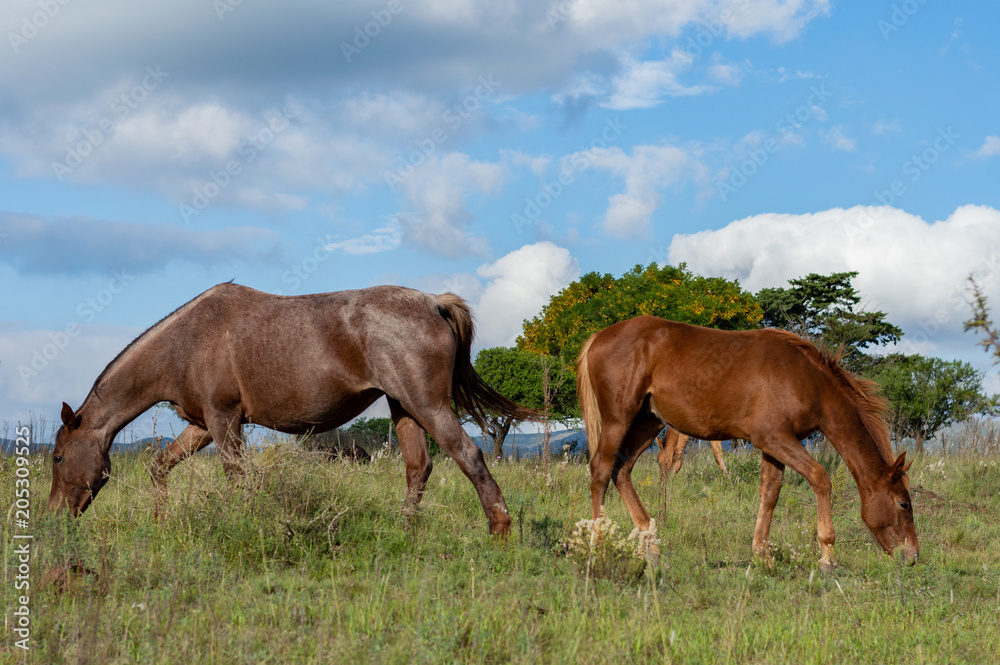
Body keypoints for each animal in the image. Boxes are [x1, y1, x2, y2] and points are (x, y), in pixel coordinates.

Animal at [48, 282, 540, 536]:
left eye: (56, 456)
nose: (53, 516)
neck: (185, 345)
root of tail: (435, 303)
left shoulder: (223, 419)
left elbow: (236, 477)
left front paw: (242, 523)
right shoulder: (203, 425)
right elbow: (159, 466)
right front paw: (160, 520)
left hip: (427, 404)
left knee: (469, 456)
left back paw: (499, 529)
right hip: (404, 407)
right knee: (418, 468)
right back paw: (404, 529)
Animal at [576, 316, 916, 572]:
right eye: (904, 503)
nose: (912, 556)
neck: (806, 379)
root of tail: (599, 336)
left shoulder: (774, 445)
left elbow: (770, 492)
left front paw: (762, 555)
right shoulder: (774, 438)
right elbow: (820, 478)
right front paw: (827, 556)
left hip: (649, 421)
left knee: (622, 469)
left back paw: (650, 543)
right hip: (618, 419)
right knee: (601, 471)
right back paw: (599, 544)